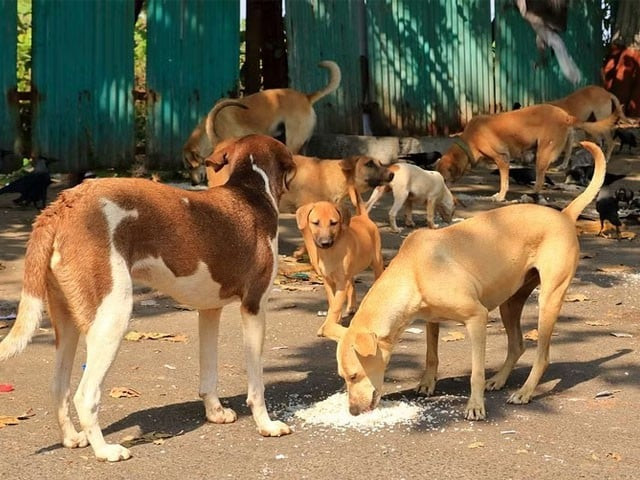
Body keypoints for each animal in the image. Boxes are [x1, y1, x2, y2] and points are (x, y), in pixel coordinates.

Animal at [0, 134, 296, 462]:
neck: (250, 189)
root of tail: (63, 205)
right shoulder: (254, 306)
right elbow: (257, 385)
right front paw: (266, 425)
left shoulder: (209, 310)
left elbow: (209, 373)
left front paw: (215, 413)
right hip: (113, 317)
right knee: (85, 395)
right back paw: (105, 450)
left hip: (68, 326)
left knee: (59, 388)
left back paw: (72, 438)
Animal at [330, 142, 604, 424]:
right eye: (344, 378)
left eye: (353, 375)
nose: (353, 412)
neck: (413, 269)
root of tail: (564, 215)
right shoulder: (431, 320)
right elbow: (431, 355)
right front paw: (427, 383)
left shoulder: (477, 318)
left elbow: (476, 372)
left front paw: (475, 405)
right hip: (510, 303)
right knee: (517, 345)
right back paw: (499, 380)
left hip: (549, 300)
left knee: (543, 355)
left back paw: (525, 391)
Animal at [436, 104, 616, 202]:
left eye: (444, 179)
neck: (470, 140)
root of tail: (566, 115)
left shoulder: (502, 159)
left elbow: (504, 182)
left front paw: (500, 197)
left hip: (543, 154)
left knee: (540, 181)